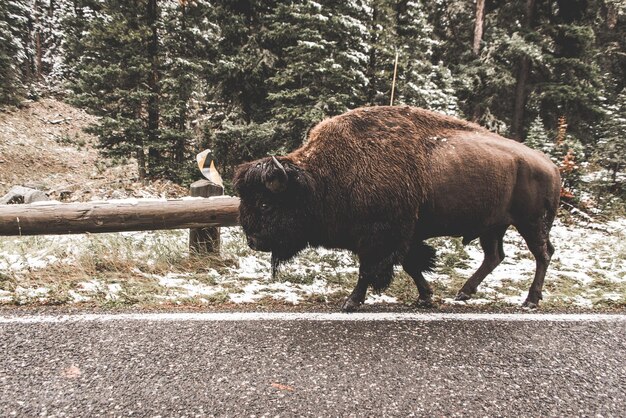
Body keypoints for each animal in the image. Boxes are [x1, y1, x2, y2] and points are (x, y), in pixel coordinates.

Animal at [234, 106, 560, 312]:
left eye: (265, 203)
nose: (253, 241)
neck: (319, 178)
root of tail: (550, 166)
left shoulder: (379, 236)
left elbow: (369, 270)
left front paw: (351, 302)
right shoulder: (404, 236)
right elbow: (411, 265)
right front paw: (425, 297)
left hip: (530, 222)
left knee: (542, 253)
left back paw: (530, 301)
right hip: (493, 226)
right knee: (495, 256)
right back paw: (464, 293)